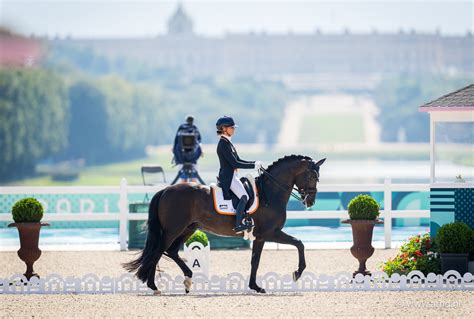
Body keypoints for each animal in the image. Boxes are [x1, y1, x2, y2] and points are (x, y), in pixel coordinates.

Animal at [124, 156, 326, 296]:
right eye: (312, 175)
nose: (311, 201)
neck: (270, 193)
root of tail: (165, 189)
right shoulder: (271, 233)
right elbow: (299, 243)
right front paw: (297, 273)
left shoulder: (260, 237)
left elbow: (255, 260)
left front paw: (255, 286)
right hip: (173, 230)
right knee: (158, 251)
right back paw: (154, 286)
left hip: (188, 228)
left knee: (170, 251)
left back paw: (188, 279)